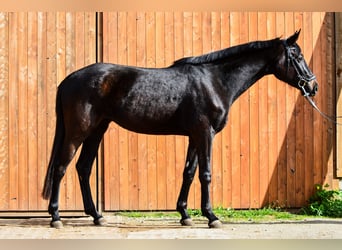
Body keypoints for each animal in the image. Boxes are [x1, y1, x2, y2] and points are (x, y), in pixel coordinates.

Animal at [42, 29, 318, 229]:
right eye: (298, 56)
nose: (312, 87)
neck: (214, 81)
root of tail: (68, 80)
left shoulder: (195, 137)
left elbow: (188, 172)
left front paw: (185, 214)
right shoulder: (205, 133)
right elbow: (205, 173)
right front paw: (211, 216)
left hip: (97, 131)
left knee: (83, 168)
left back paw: (97, 216)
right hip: (78, 131)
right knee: (61, 167)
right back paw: (56, 217)